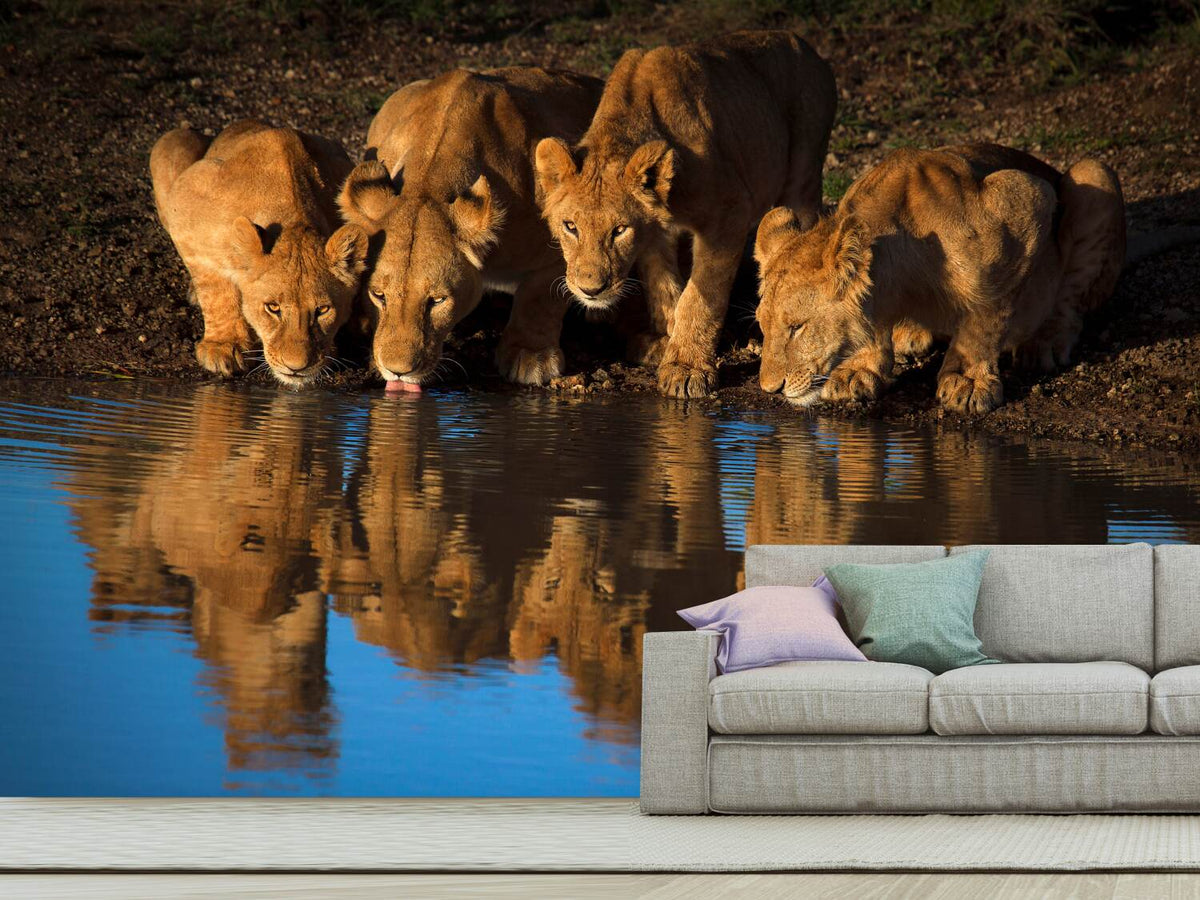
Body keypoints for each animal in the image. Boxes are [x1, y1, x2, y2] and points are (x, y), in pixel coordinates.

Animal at [151, 119, 369, 386]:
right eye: (272, 308)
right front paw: (224, 346)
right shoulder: (185, 203)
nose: (296, 367)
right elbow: (215, 288)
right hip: (171, 142)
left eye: (323, 310)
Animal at [337, 67, 603, 386]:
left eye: (437, 300)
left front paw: (531, 355)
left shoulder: (559, 242)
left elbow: (540, 298)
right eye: (378, 295)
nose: (398, 371)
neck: (429, 180)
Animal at [534, 30, 837, 397]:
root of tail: (804, 44)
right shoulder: (654, 233)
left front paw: (687, 367)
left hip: (804, 172)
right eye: (570, 226)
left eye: (619, 230)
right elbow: (664, 287)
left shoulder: (729, 213)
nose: (591, 290)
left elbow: (700, 296)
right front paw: (667, 341)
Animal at [754, 143, 1125, 414]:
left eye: (797, 327)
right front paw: (860, 369)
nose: (770, 389)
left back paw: (1043, 343)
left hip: (1094, 175)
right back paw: (911, 333)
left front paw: (968, 380)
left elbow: (985, 315)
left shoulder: (1025, 200)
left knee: (1070, 301)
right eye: (763, 326)